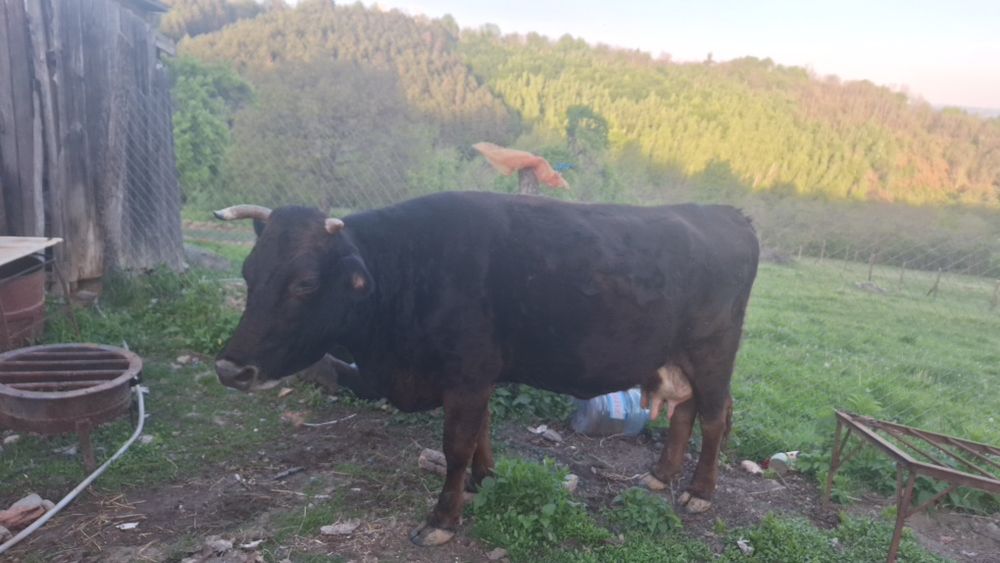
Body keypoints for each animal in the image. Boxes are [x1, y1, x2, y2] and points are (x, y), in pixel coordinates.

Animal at [213, 191, 759, 546]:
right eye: (248, 272)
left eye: (304, 283)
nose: (229, 368)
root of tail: (726, 213)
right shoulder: (476, 378)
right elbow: (480, 432)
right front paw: (483, 478)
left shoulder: (467, 375)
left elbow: (456, 445)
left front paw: (443, 518)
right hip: (679, 358)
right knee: (686, 411)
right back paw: (661, 476)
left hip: (714, 350)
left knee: (714, 418)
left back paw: (699, 492)